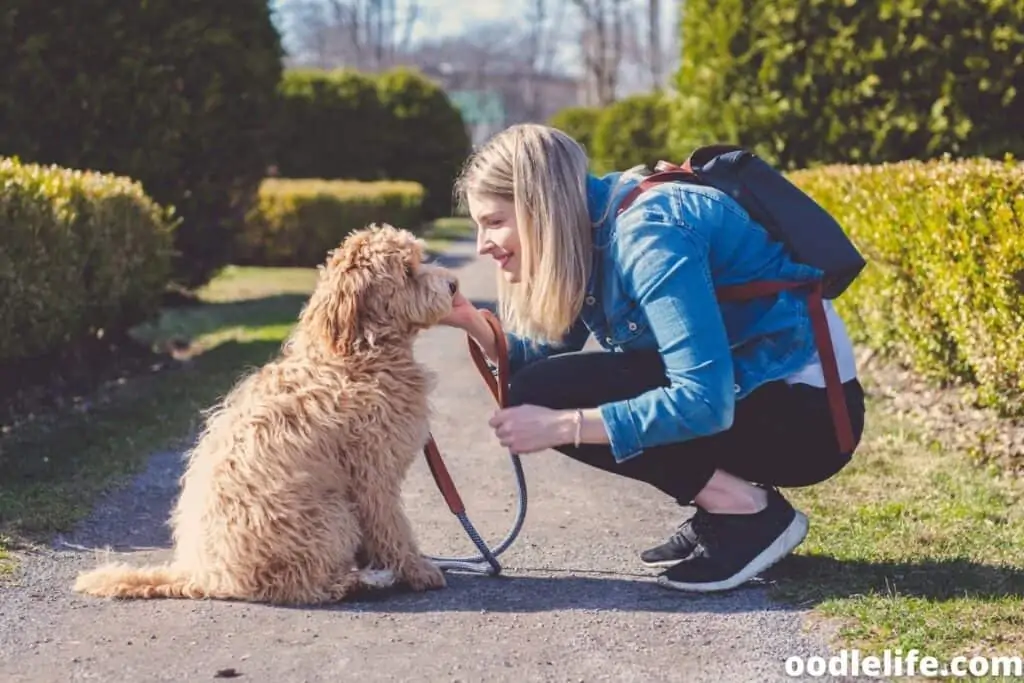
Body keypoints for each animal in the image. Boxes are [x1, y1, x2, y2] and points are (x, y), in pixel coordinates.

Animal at [77, 224, 462, 602]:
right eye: (408, 270)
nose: (454, 285)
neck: (355, 355)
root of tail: (205, 575)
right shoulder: (373, 477)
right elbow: (392, 528)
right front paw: (417, 570)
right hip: (331, 516)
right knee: (301, 584)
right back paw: (361, 581)